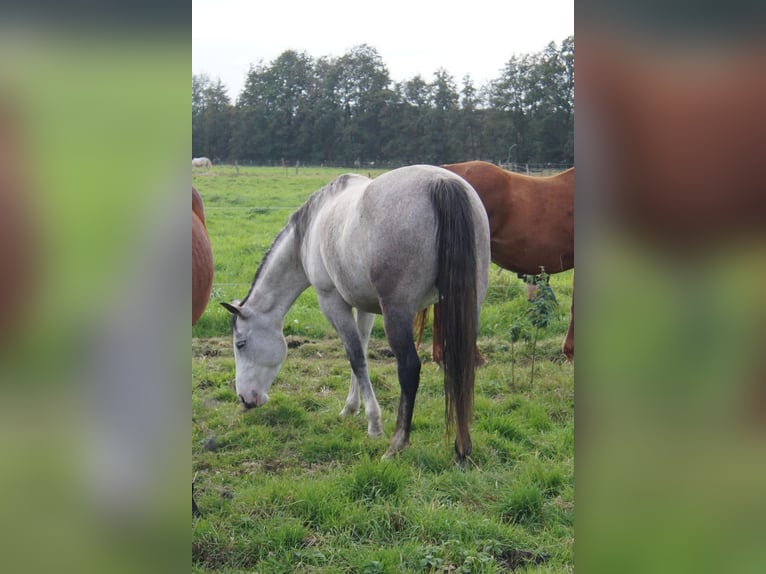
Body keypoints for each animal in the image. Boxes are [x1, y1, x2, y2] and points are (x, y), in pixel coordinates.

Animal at [221, 165, 490, 462]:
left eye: (240, 344)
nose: (245, 399)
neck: (310, 232)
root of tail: (440, 182)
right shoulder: (364, 306)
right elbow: (360, 350)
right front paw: (352, 407)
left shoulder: (332, 302)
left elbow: (355, 357)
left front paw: (374, 423)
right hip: (466, 308)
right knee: (460, 364)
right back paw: (462, 448)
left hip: (397, 313)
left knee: (410, 368)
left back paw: (397, 444)